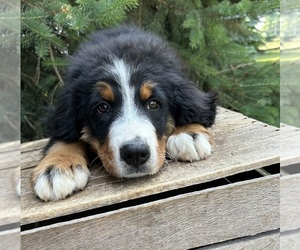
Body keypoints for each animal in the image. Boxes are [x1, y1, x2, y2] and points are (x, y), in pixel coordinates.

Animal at [30, 24, 217, 201]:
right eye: (102, 107)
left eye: (153, 104)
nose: (135, 154)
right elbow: (64, 136)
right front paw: (55, 168)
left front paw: (189, 133)